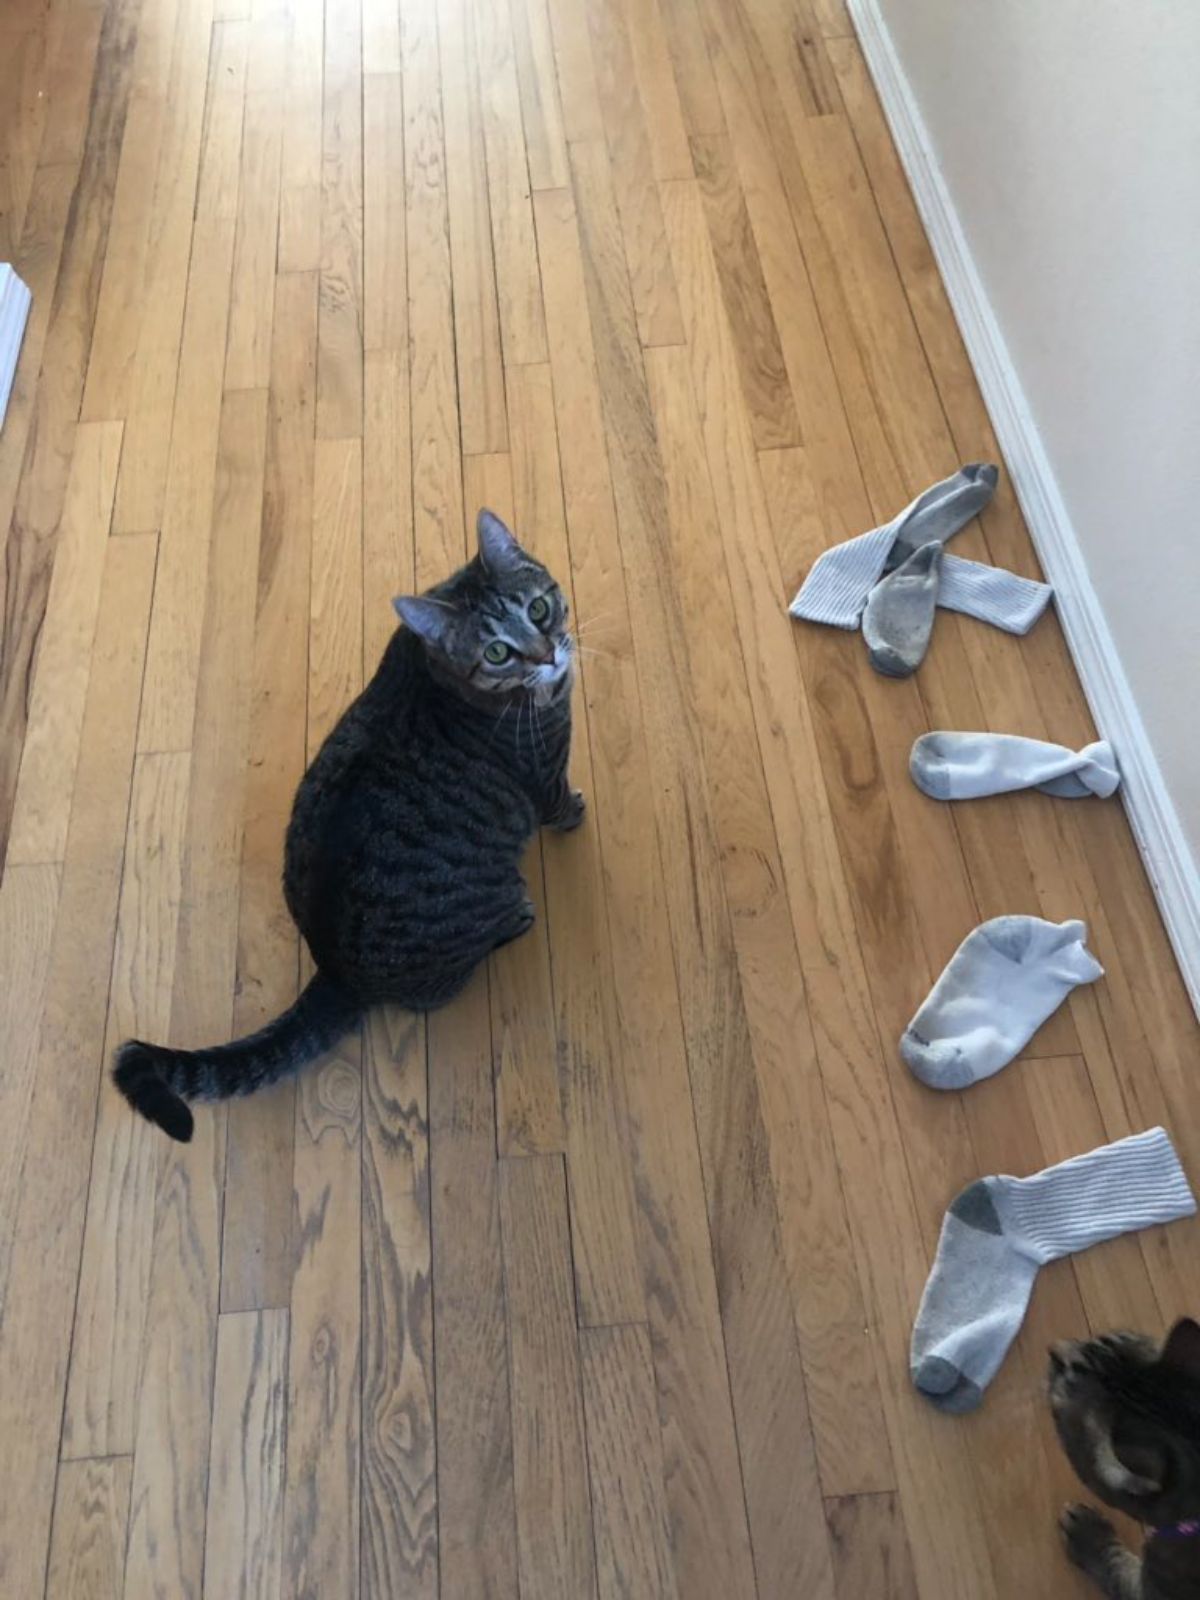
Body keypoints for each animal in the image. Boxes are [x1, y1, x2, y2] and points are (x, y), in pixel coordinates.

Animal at [115, 505, 585, 1145]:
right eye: (495, 653)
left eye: (538, 609)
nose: (547, 656)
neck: (442, 672)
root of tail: (338, 970)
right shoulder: (544, 771)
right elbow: (559, 803)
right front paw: (577, 812)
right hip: (490, 902)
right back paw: (514, 919)